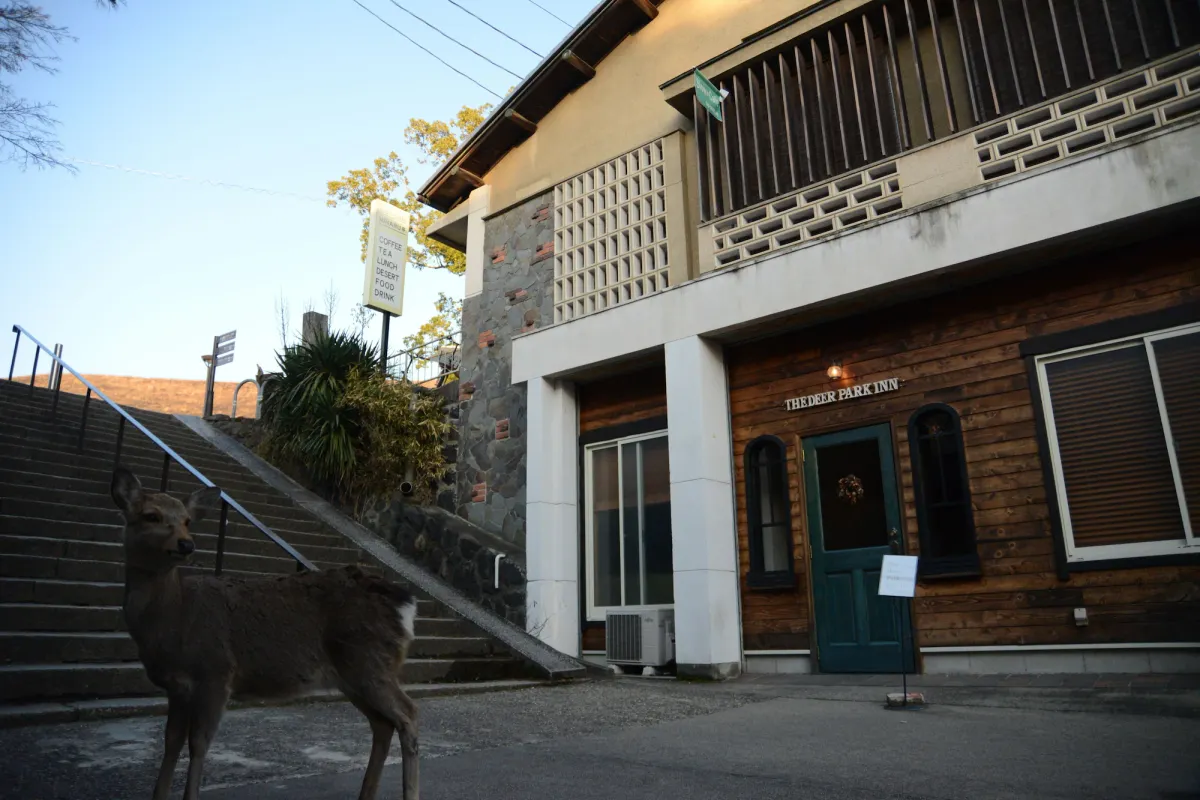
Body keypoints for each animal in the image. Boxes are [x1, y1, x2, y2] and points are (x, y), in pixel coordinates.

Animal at [110, 466, 420, 800]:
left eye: (187, 520)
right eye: (151, 515)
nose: (186, 544)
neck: (174, 621)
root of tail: (406, 604)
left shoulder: (216, 672)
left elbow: (199, 744)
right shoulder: (176, 687)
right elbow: (170, 743)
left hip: (369, 660)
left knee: (408, 713)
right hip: (351, 674)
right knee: (382, 724)